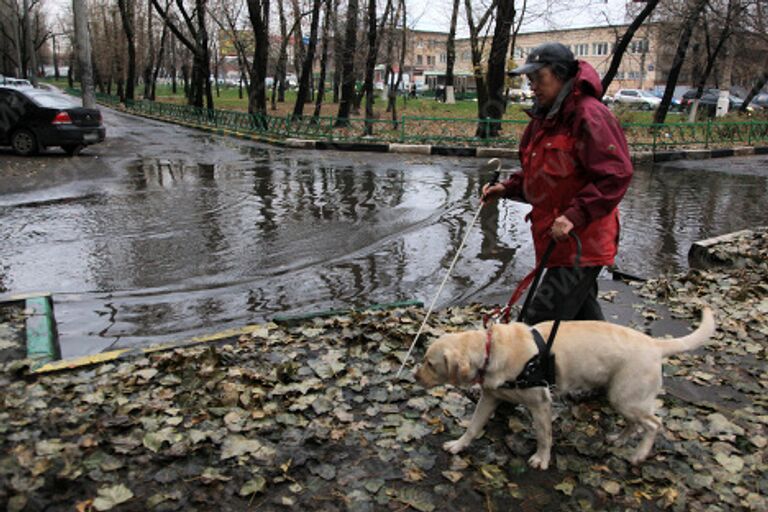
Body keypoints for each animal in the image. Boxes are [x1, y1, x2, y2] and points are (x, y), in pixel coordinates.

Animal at [414, 308, 712, 468]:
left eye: (429, 363)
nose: (415, 375)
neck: (491, 349)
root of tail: (654, 344)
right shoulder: (489, 397)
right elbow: (473, 426)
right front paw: (458, 445)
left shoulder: (541, 404)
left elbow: (544, 436)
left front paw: (541, 459)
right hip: (622, 397)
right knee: (635, 423)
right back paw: (619, 439)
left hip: (626, 396)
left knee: (653, 424)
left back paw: (639, 453)